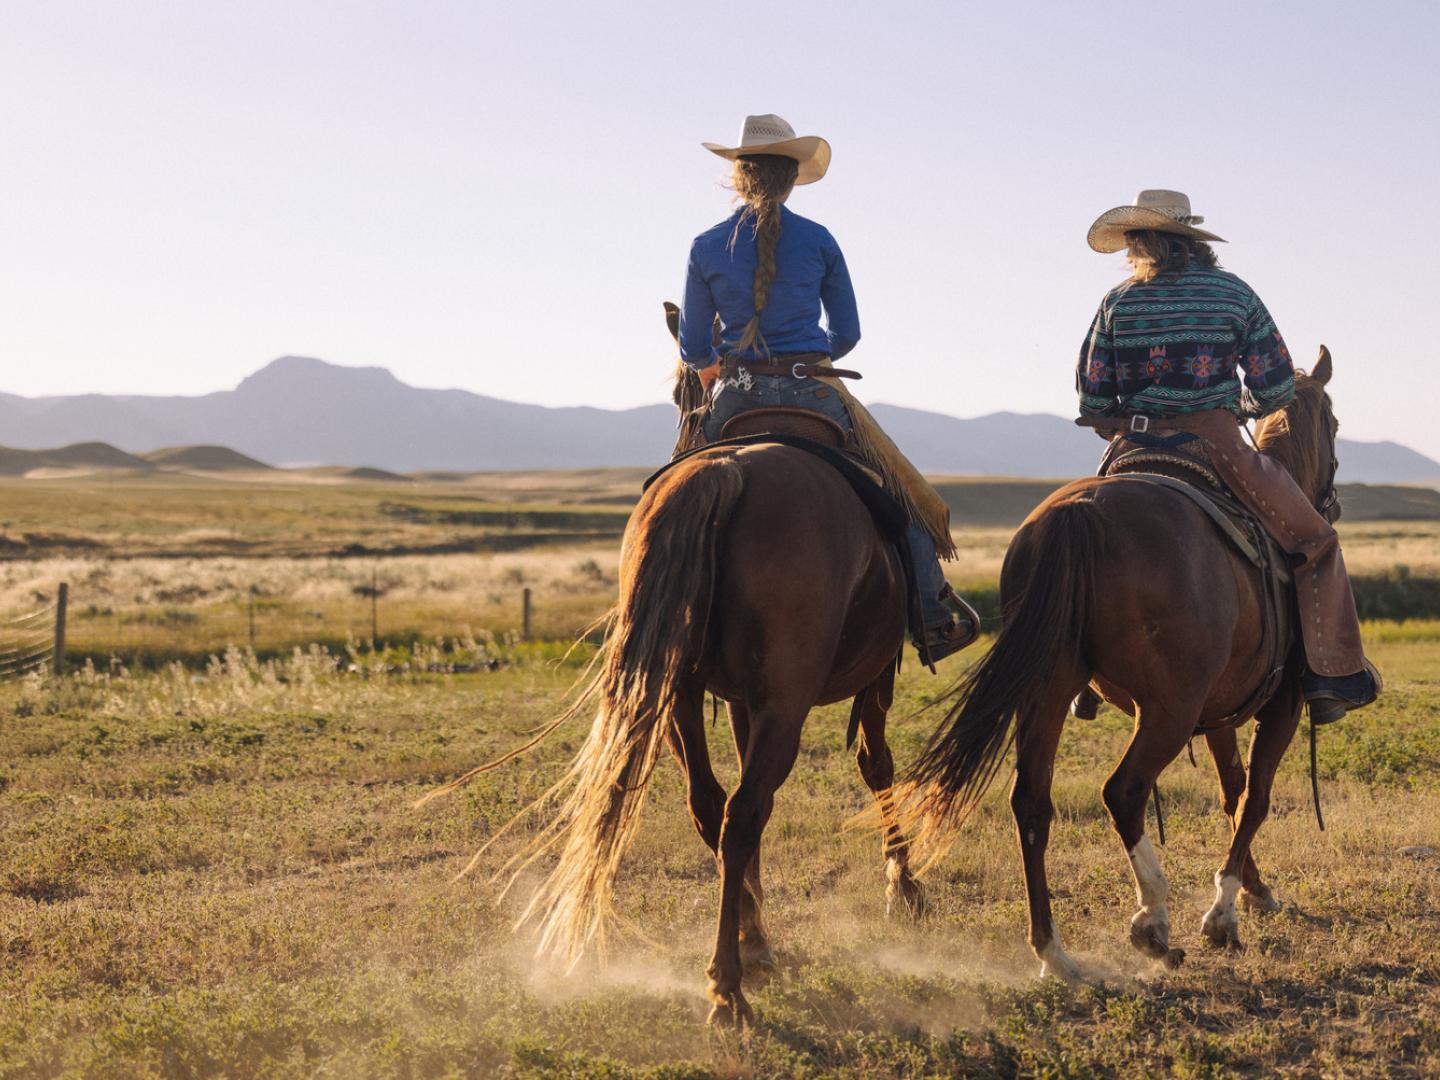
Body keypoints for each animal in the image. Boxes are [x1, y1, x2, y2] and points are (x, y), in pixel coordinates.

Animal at [435, 307, 929, 1027]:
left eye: (676, 393)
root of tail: (725, 473)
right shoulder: (871, 678)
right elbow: (877, 765)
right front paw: (905, 887)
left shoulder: (744, 698)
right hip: (783, 698)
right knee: (742, 810)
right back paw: (729, 981)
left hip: (681, 696)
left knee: (714, 807)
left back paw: (748, 948)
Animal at [901, 349, 1342, 980]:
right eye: (1335, 422)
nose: (1332, 500)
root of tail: (1079, 514)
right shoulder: (1281, 704)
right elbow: (1254, 798)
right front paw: (1224, 912)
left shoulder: (1223, 712)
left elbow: (1232, 793)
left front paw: (1253, 890)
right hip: (1166, 710)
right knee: (1124, 792)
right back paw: (1153, 922)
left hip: (1049, 690)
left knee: (1031, 802)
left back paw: (1054, 952)